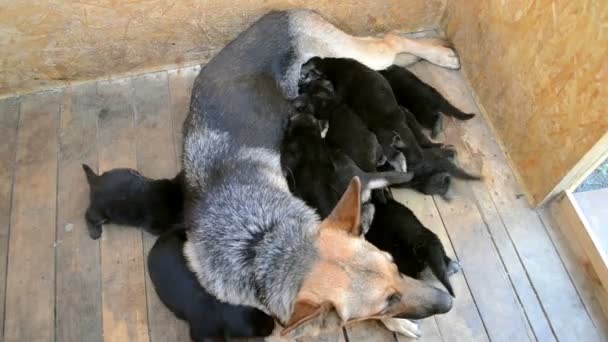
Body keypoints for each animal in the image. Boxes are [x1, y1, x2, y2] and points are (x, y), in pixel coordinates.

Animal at [183, 9, 458, 338]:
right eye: (386, 300)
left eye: (395, 266)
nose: (448, 303)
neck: (260, 241)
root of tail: (283, 12)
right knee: (388, 53)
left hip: (353, 52)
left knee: (390, 40)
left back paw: (440, 54)